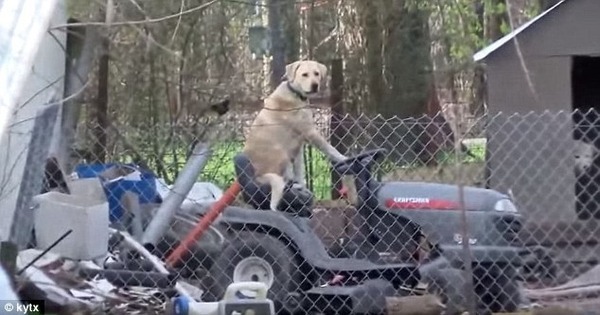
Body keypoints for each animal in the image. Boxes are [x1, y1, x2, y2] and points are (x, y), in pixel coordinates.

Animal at [243, 59, 346, 212]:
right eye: (304, 74)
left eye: (316, 73)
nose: (315, 85)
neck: (295, 94)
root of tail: (257, 176)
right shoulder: (311, 133)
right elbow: (331, 149)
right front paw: (343, 158)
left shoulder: (299, 146)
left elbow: (299, 171)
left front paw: (302, 186)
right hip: (280, 153)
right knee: (282, 179)